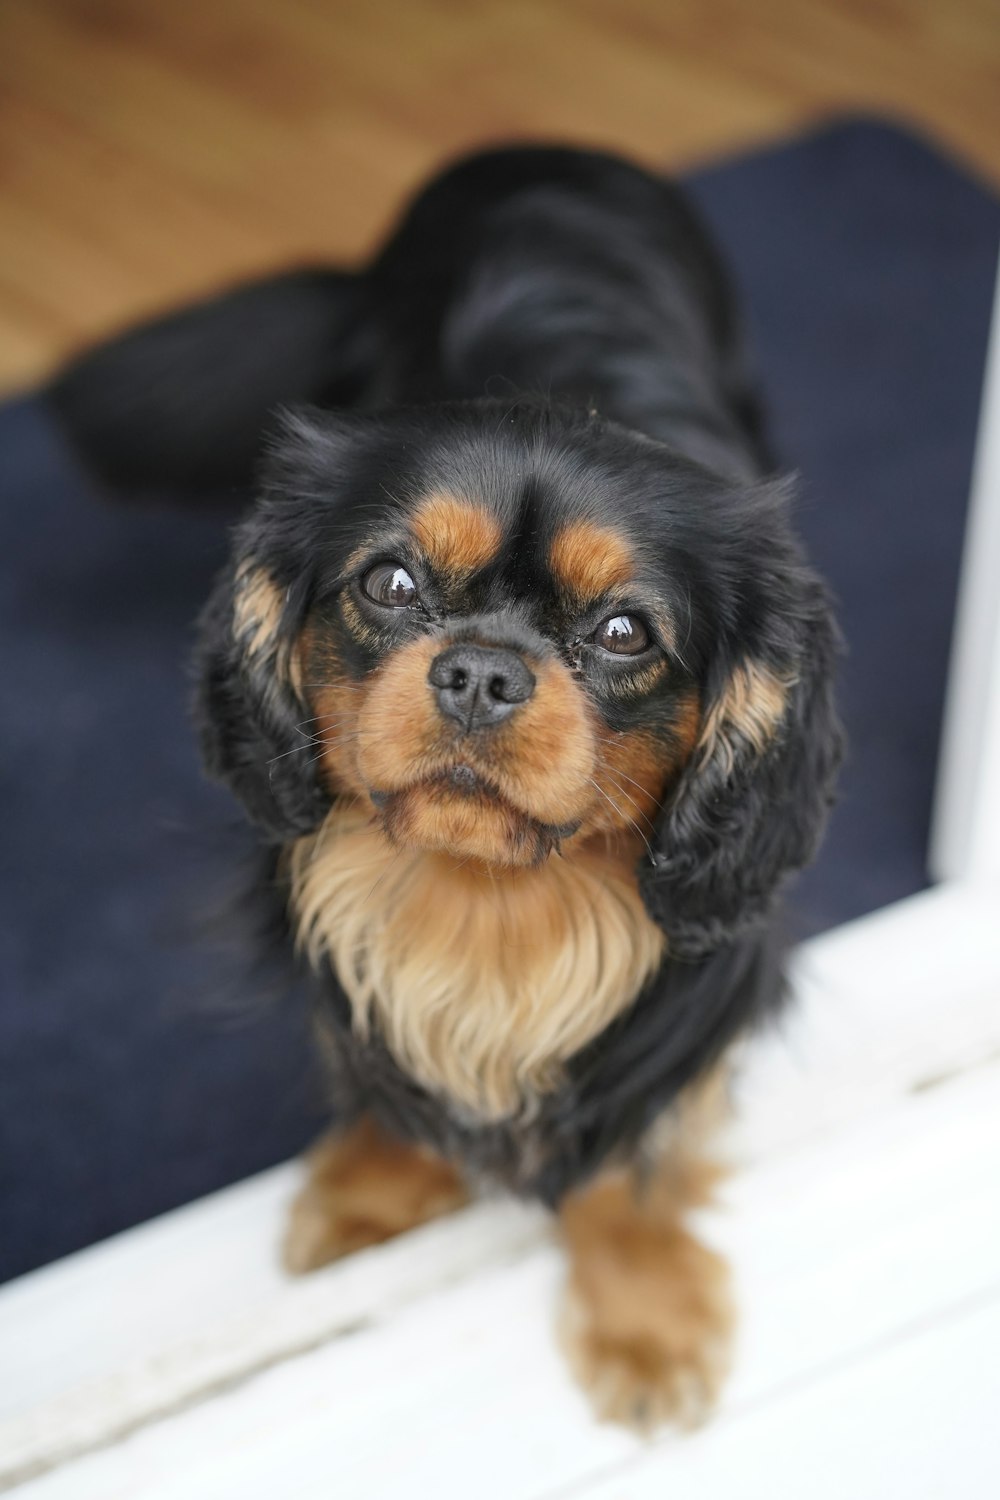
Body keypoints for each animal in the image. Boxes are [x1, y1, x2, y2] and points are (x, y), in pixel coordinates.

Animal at [48, 146, 845, 1422]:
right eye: (391, 582)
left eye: (623, 632)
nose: (478, 671)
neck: (489, 897)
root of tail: (541, 150)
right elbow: (377, 1071)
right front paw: (370, 1201)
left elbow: (637, 1144)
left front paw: (645, 1314)